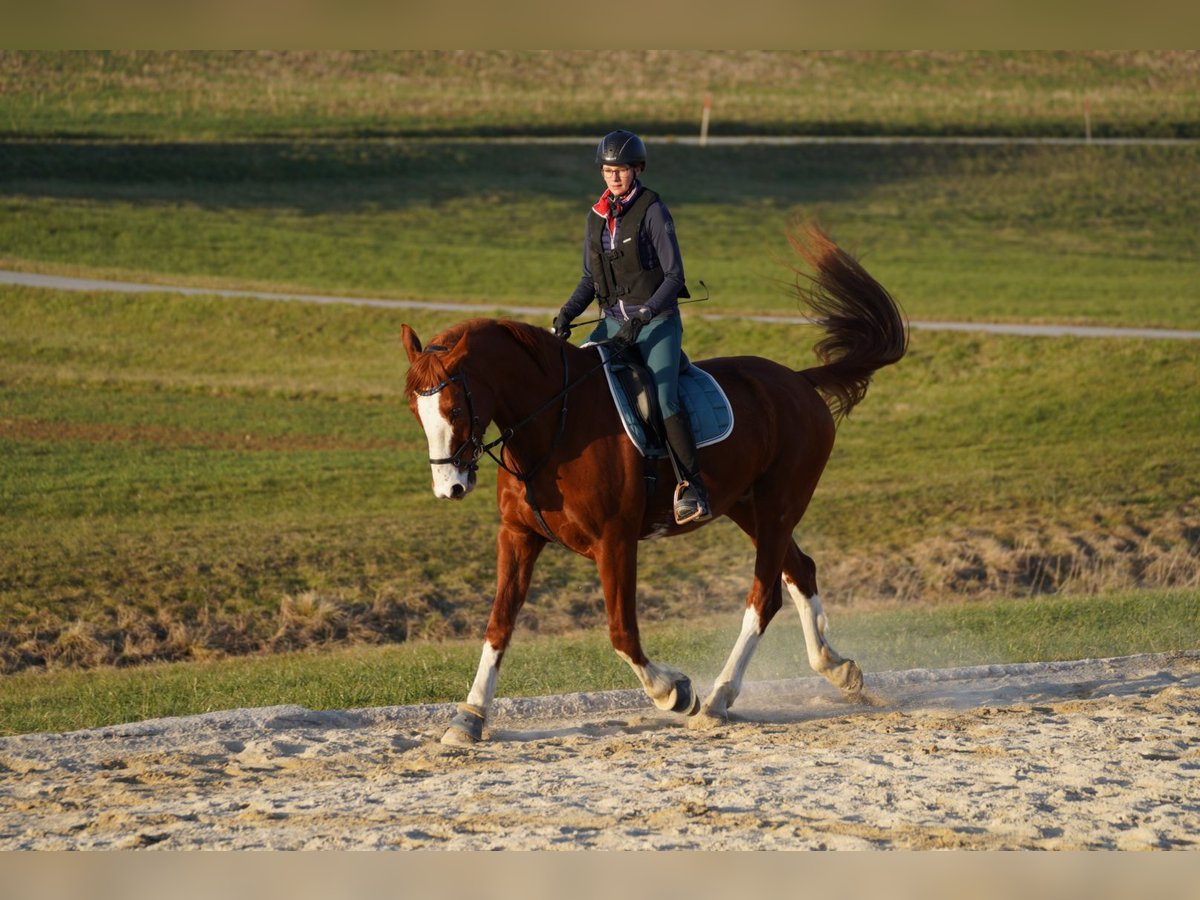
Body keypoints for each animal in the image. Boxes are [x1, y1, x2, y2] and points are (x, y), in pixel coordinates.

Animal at [398, 225, 902, 748]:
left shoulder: (614, 540)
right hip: (748, 507)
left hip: (780, 505)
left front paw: (674, 692)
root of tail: (800, 382)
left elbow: (622, 632)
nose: (450, 486)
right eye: (415, 408)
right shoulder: (518, 536)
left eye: (455, 408)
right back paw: (837, 669)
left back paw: (718, 699)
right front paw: (470, 715)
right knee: (800, 570)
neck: (556, 420)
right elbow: (498, 625)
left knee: (765, 596)